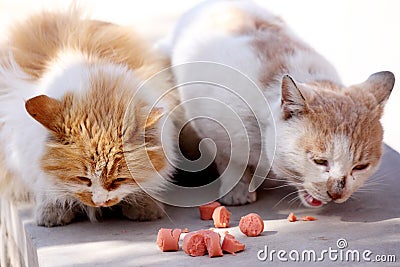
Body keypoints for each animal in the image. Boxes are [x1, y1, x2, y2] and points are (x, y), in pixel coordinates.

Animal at [0, 8, 178, 226]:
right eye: (83, 179)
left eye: (119, 180)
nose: (100, 202)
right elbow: (46, 185)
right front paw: (52, 212)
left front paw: (144, 206)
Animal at [164, 0, 396, 207]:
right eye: (320, 161)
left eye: (361, 166)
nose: (336, 194)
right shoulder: (211, 124)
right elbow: (230, 158)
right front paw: (237, 190)